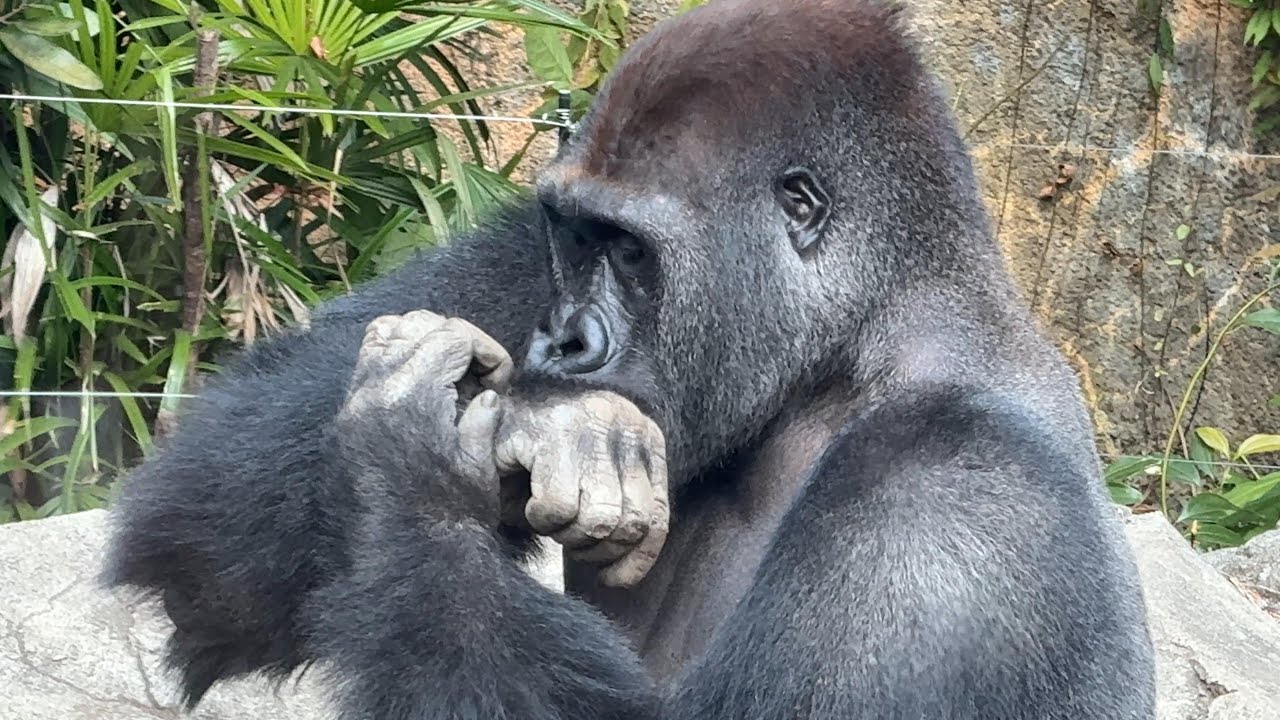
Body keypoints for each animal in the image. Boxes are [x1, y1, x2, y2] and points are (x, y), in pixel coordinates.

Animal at [103, 0, 1157, 717]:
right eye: (579, 239)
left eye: (633, 253)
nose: (561, 341)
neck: (855, 346)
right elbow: (201, 547)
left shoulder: (949, 497)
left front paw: (419, 457)